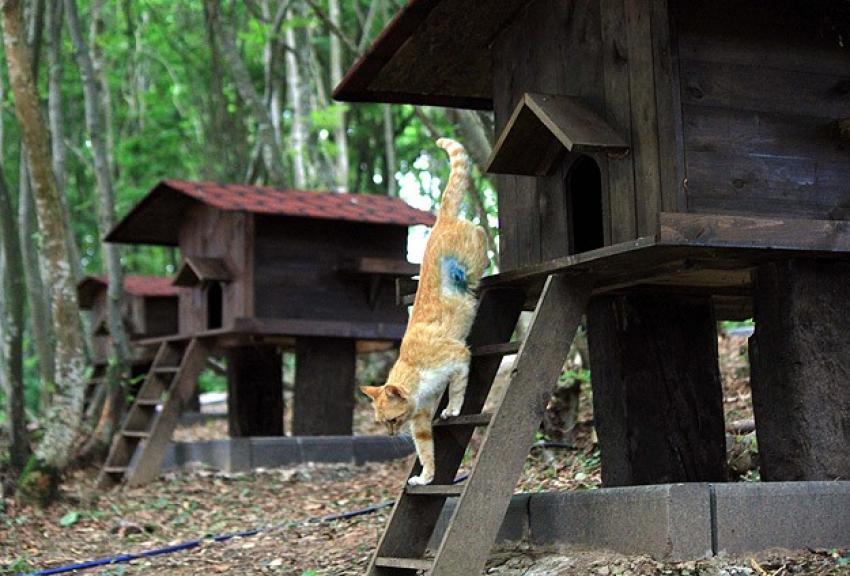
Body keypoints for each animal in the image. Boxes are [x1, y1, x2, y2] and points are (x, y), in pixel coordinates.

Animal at [362, 140, 486, 486]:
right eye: (383, 423)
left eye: (391, 420)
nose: (392, 435)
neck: (414, 370)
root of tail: (441, 218)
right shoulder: (420, 417)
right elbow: (426, 449)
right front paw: (426, 477)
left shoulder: (458, 358)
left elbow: (457, 391)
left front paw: (454, 410)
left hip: (473, 257)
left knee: (482, 230)